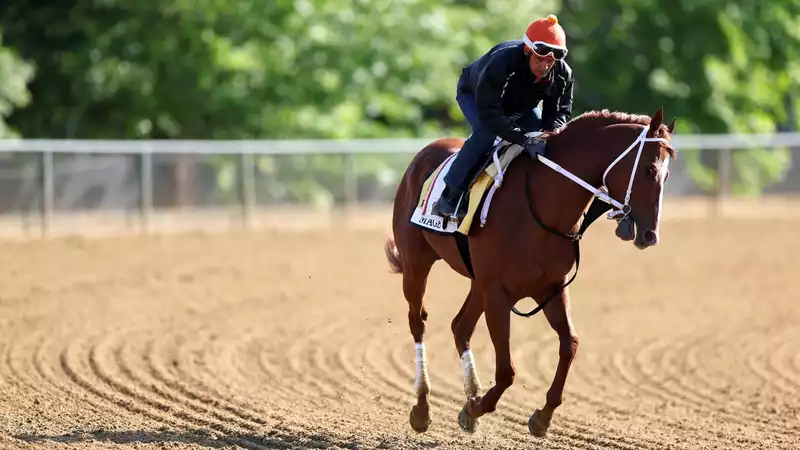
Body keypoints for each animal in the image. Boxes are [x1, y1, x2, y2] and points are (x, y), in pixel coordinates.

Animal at [382, 107, 676, 438]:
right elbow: (507, 371)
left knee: (460, 326)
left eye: (666, 174)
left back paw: (470, 394)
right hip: (416, 263)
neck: (541, 207)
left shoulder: (551, 288)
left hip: (477, 282)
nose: (650, 235)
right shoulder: (498, 293)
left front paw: (540, 416)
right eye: (649, 170)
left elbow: (570, 344)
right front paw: (475, 408)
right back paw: (422, 408)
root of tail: (425, 153)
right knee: (418, 322)